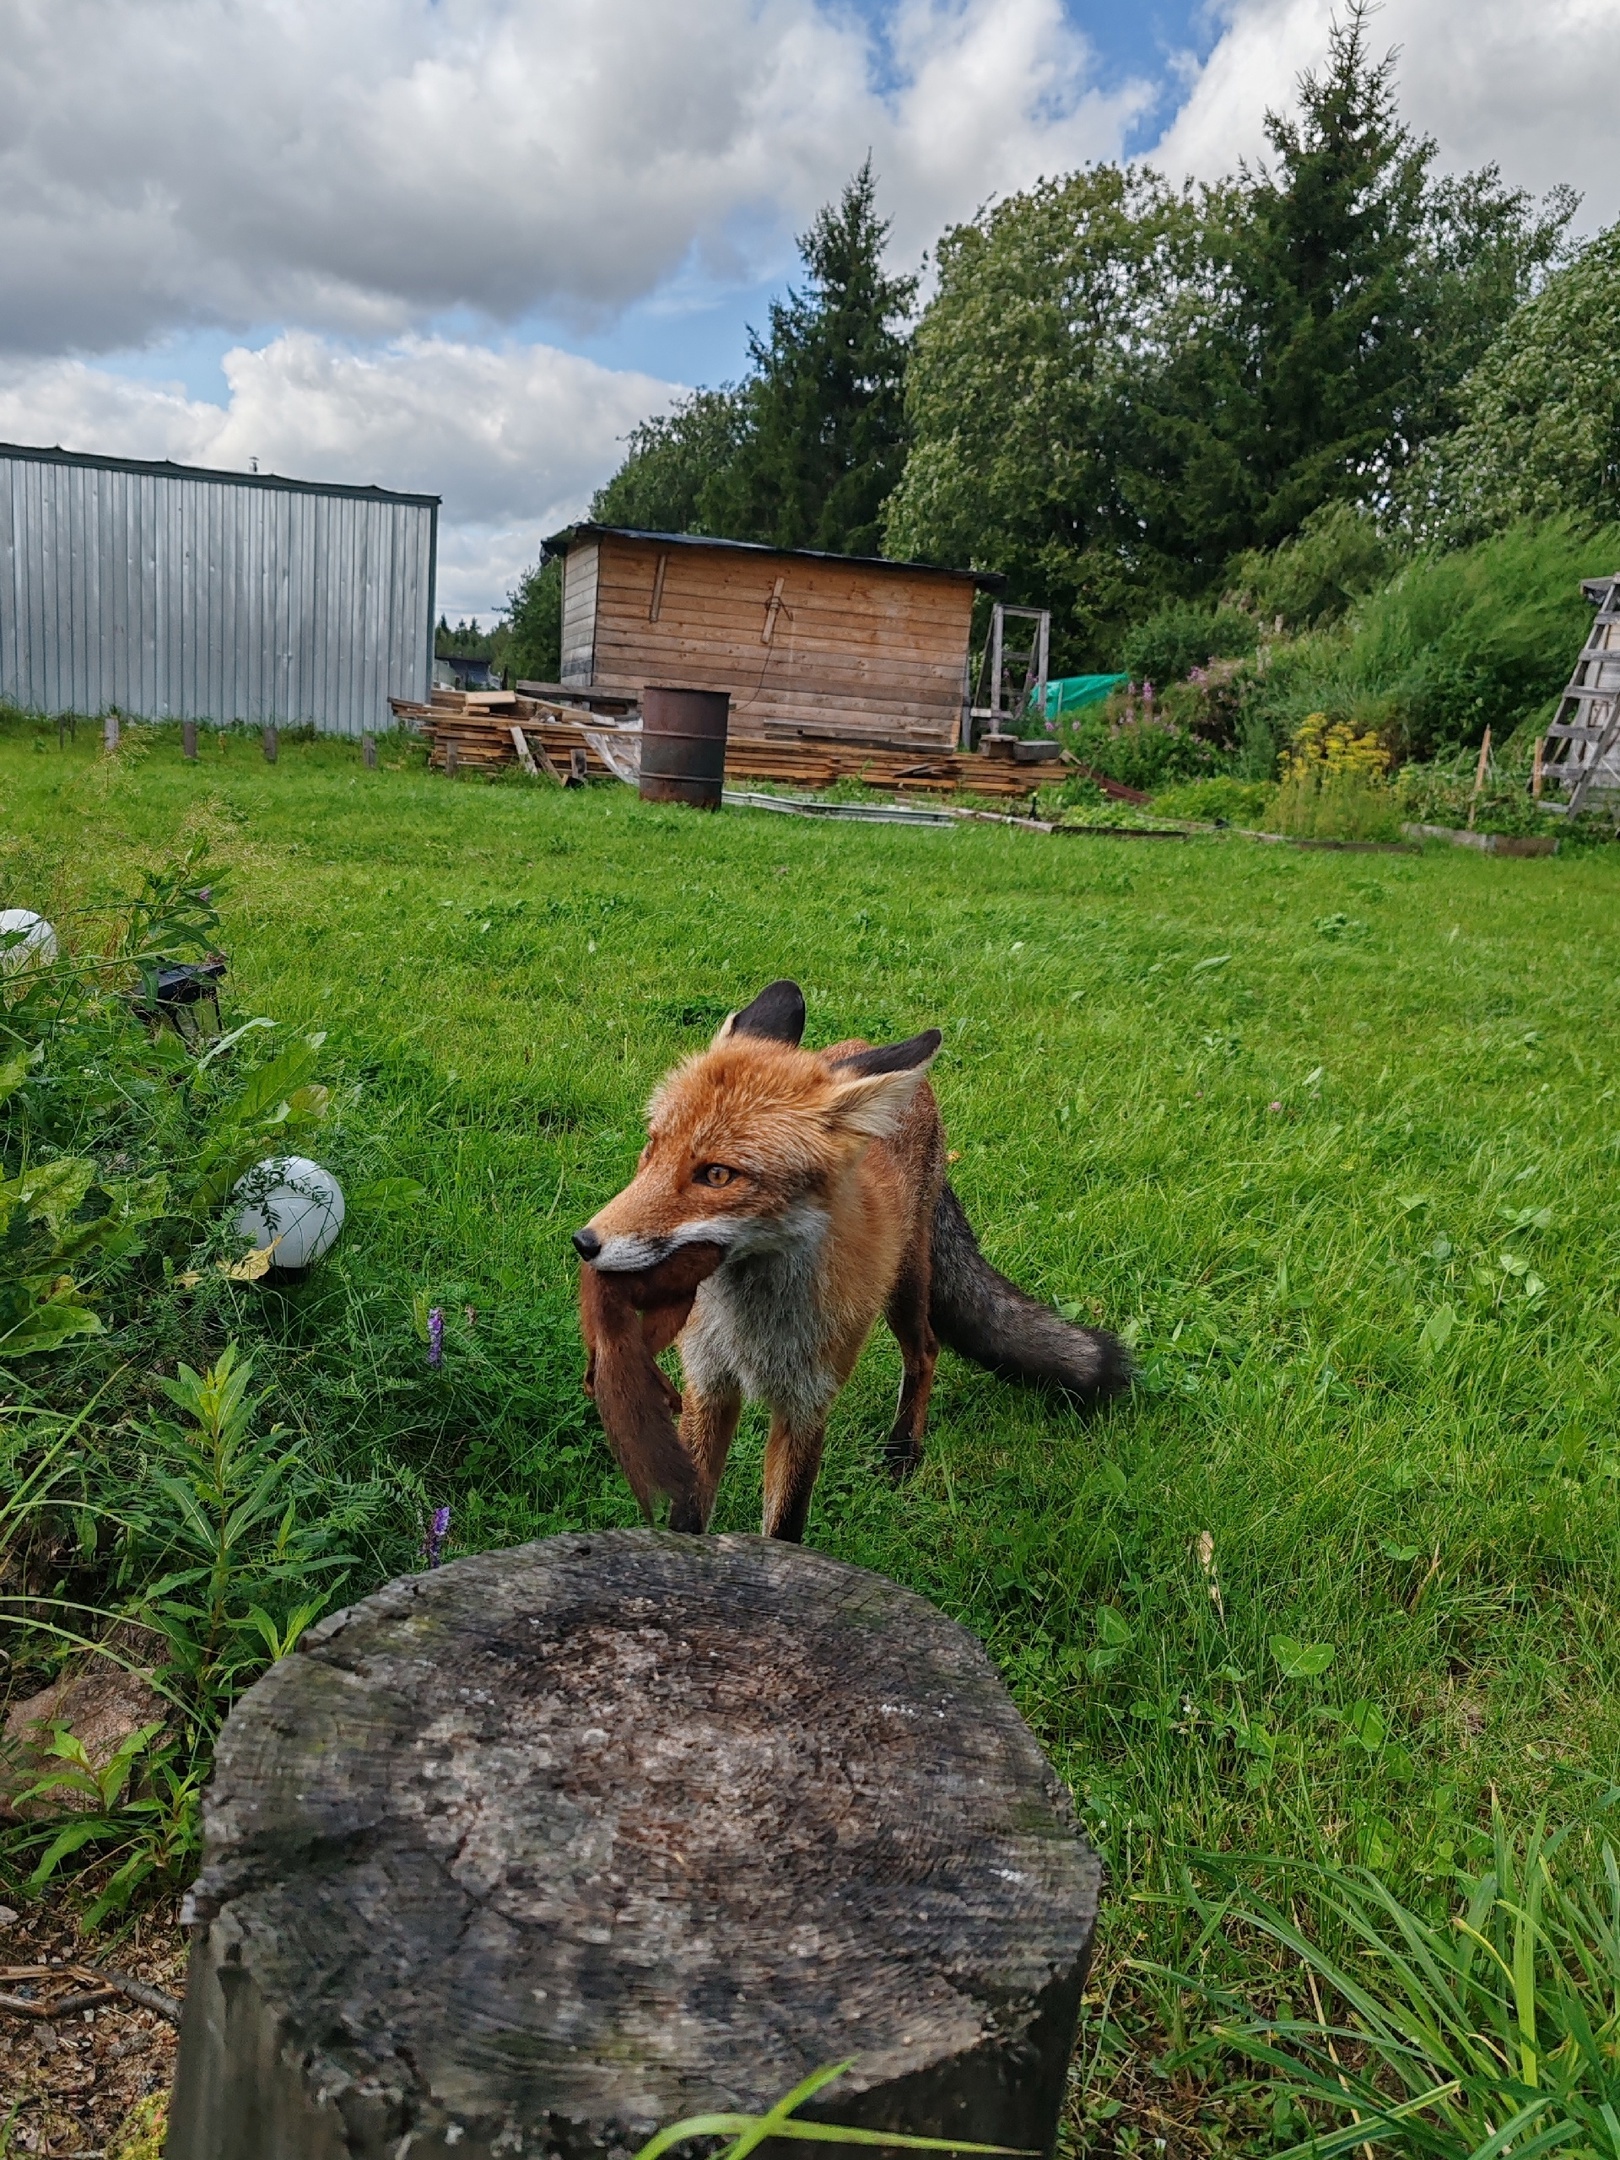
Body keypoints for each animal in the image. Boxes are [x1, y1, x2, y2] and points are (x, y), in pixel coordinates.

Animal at [578, 989, 1131, 1546]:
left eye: (717, 1175)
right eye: (652, 1147)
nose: (584, 1242)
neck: (753, 1331)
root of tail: (863, 1047)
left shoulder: (808, 1402)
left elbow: (785, 1525)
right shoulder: (708, 1386)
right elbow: (688, 1519)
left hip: (906, 1284)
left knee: (926, 1349)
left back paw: (904, 1450)